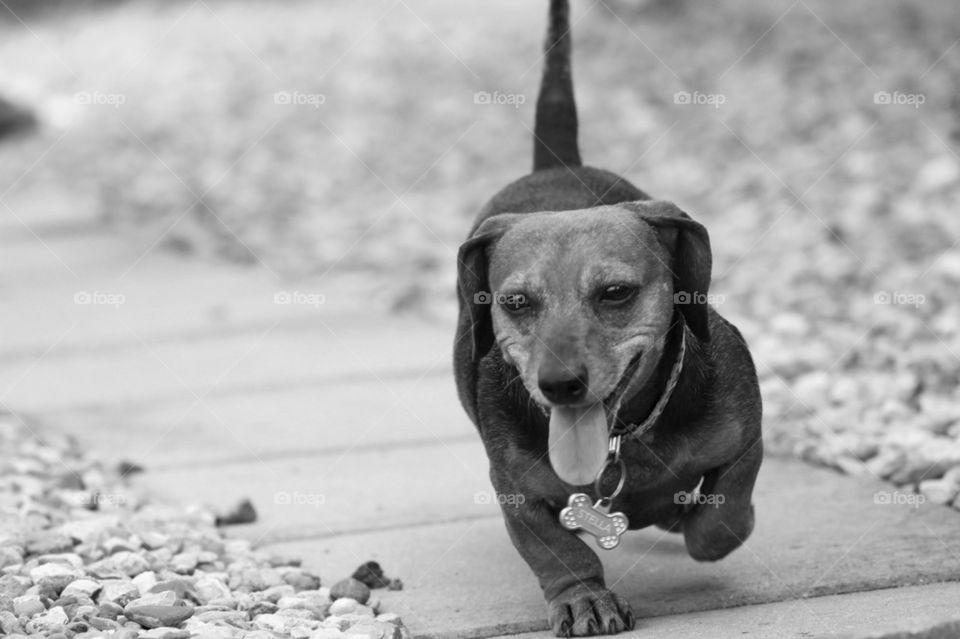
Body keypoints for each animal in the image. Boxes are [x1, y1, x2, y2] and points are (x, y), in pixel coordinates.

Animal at [454, 2, 760, 636]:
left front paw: (699, 522)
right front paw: (582, 596)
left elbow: (722, 514)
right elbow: (556, 549)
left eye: (616, 293)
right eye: (515, 303)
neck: (624, 439)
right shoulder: (513, 488)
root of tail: (557, 164)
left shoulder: (748, 437)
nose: (560, 384)